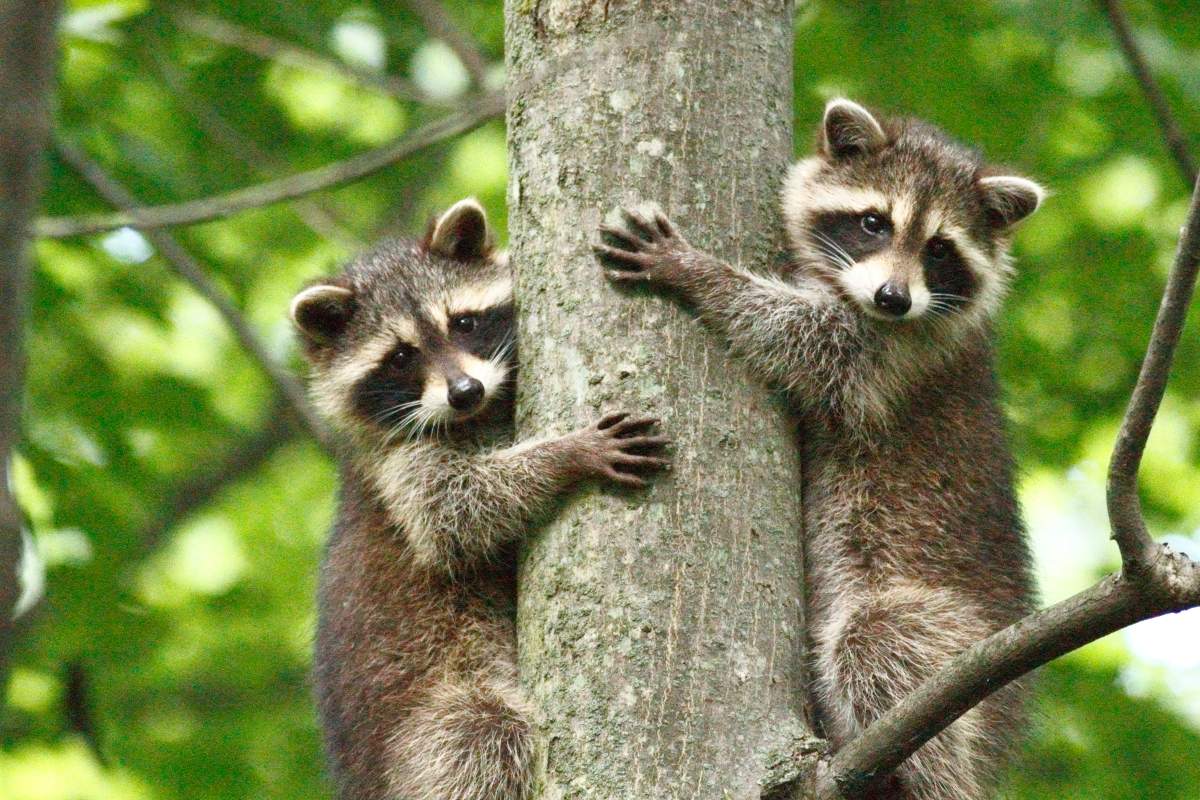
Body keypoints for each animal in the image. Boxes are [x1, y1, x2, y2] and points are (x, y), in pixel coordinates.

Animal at [294, 198, 670, 800]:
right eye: (400, 357)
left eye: (463, 323)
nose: (464, 392)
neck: (479, 415)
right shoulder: (398, 466)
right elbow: (452, 515)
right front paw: (565, 454)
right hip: (425, 725)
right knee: (482, 737)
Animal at [594, 100, 1042, 800]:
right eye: (873, 223)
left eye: (940, 249)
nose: (892, 298)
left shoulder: (903, 358)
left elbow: (815, 347)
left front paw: (701, 274)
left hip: (956, 648)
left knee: (880, 639)